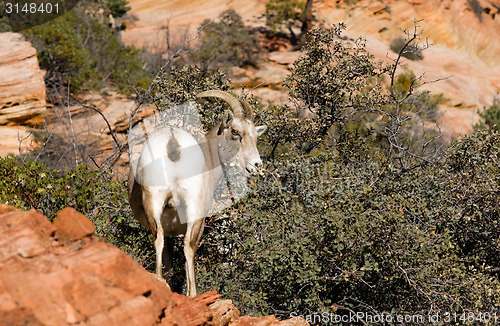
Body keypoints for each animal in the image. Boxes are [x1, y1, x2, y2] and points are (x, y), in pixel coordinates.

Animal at [128, 90, 266, 296]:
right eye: (235, 132)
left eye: (256, 136)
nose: (256, 165)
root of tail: (172, 143)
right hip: (195, 208)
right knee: (189, 245)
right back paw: (193, 293)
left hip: (154, 202)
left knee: (158, 238)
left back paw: (159, 281)